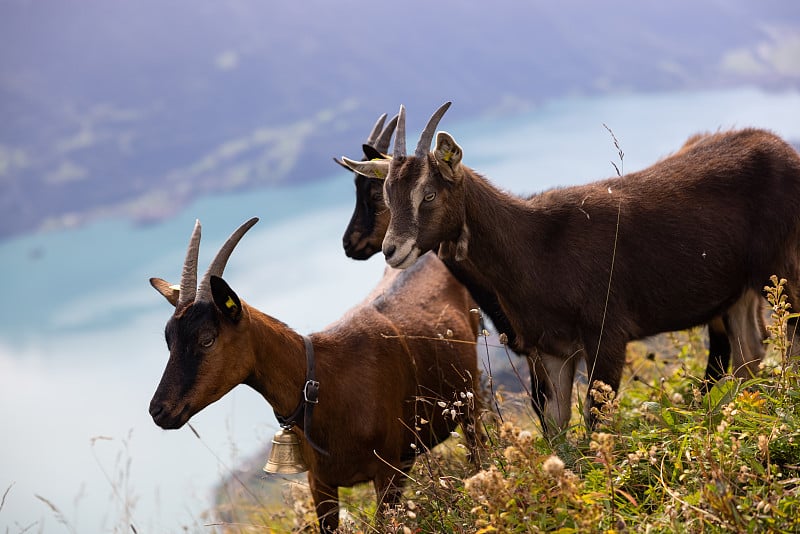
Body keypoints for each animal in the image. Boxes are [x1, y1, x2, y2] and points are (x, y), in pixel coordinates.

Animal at [148, 217, 482, 532]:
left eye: (207, 339)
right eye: (168, 339)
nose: (158, 410)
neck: (324, 382)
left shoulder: (387, 469)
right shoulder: (319, 481)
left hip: (471, 399)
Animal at [340, 103, 800, 436]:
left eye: (429, 193)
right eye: (387, 192)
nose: (390, 249)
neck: (537, 244)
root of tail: (782, 148)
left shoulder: (607, 334)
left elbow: (597, 421)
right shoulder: (551, 349)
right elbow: (556, 429)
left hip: (783, 268)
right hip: (740, 290)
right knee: (750, 350)